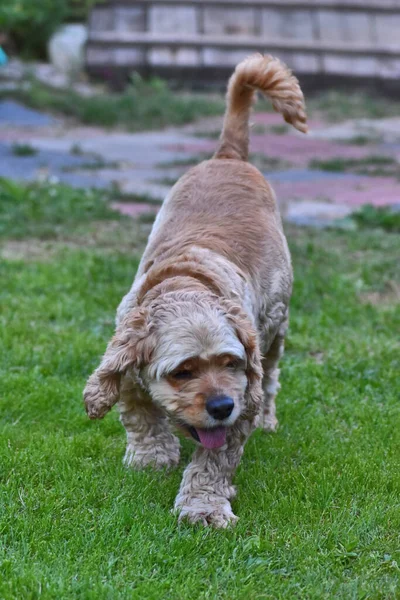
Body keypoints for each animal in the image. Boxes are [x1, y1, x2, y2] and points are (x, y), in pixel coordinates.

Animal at [84, 54, 308, 528]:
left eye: (230, 363)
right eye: (182, 372)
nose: (221, 405)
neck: (185, 283)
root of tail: (228, 155)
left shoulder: (244, 389)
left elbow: (214, 459)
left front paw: (203, 506)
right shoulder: (127, 360)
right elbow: (138, 412)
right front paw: (152, 456)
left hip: (276, 327)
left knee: (272, 375)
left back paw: (268, 418)